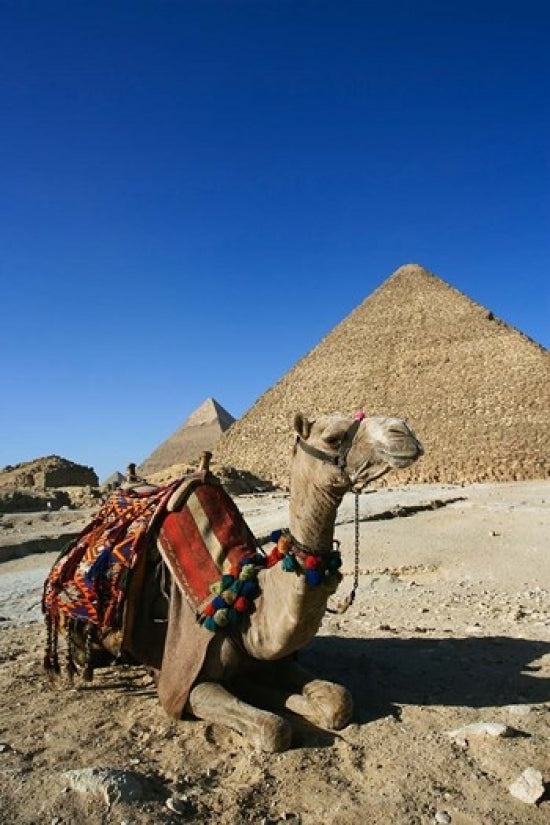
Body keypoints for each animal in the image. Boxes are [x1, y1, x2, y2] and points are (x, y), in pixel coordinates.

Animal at [43, 411, 423, 752]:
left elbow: (338, 700)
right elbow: (274, 729)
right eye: (332, 438)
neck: (243, 596)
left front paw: (279, 695)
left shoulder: (274, 660)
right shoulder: (183, 683)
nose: (403, 431)